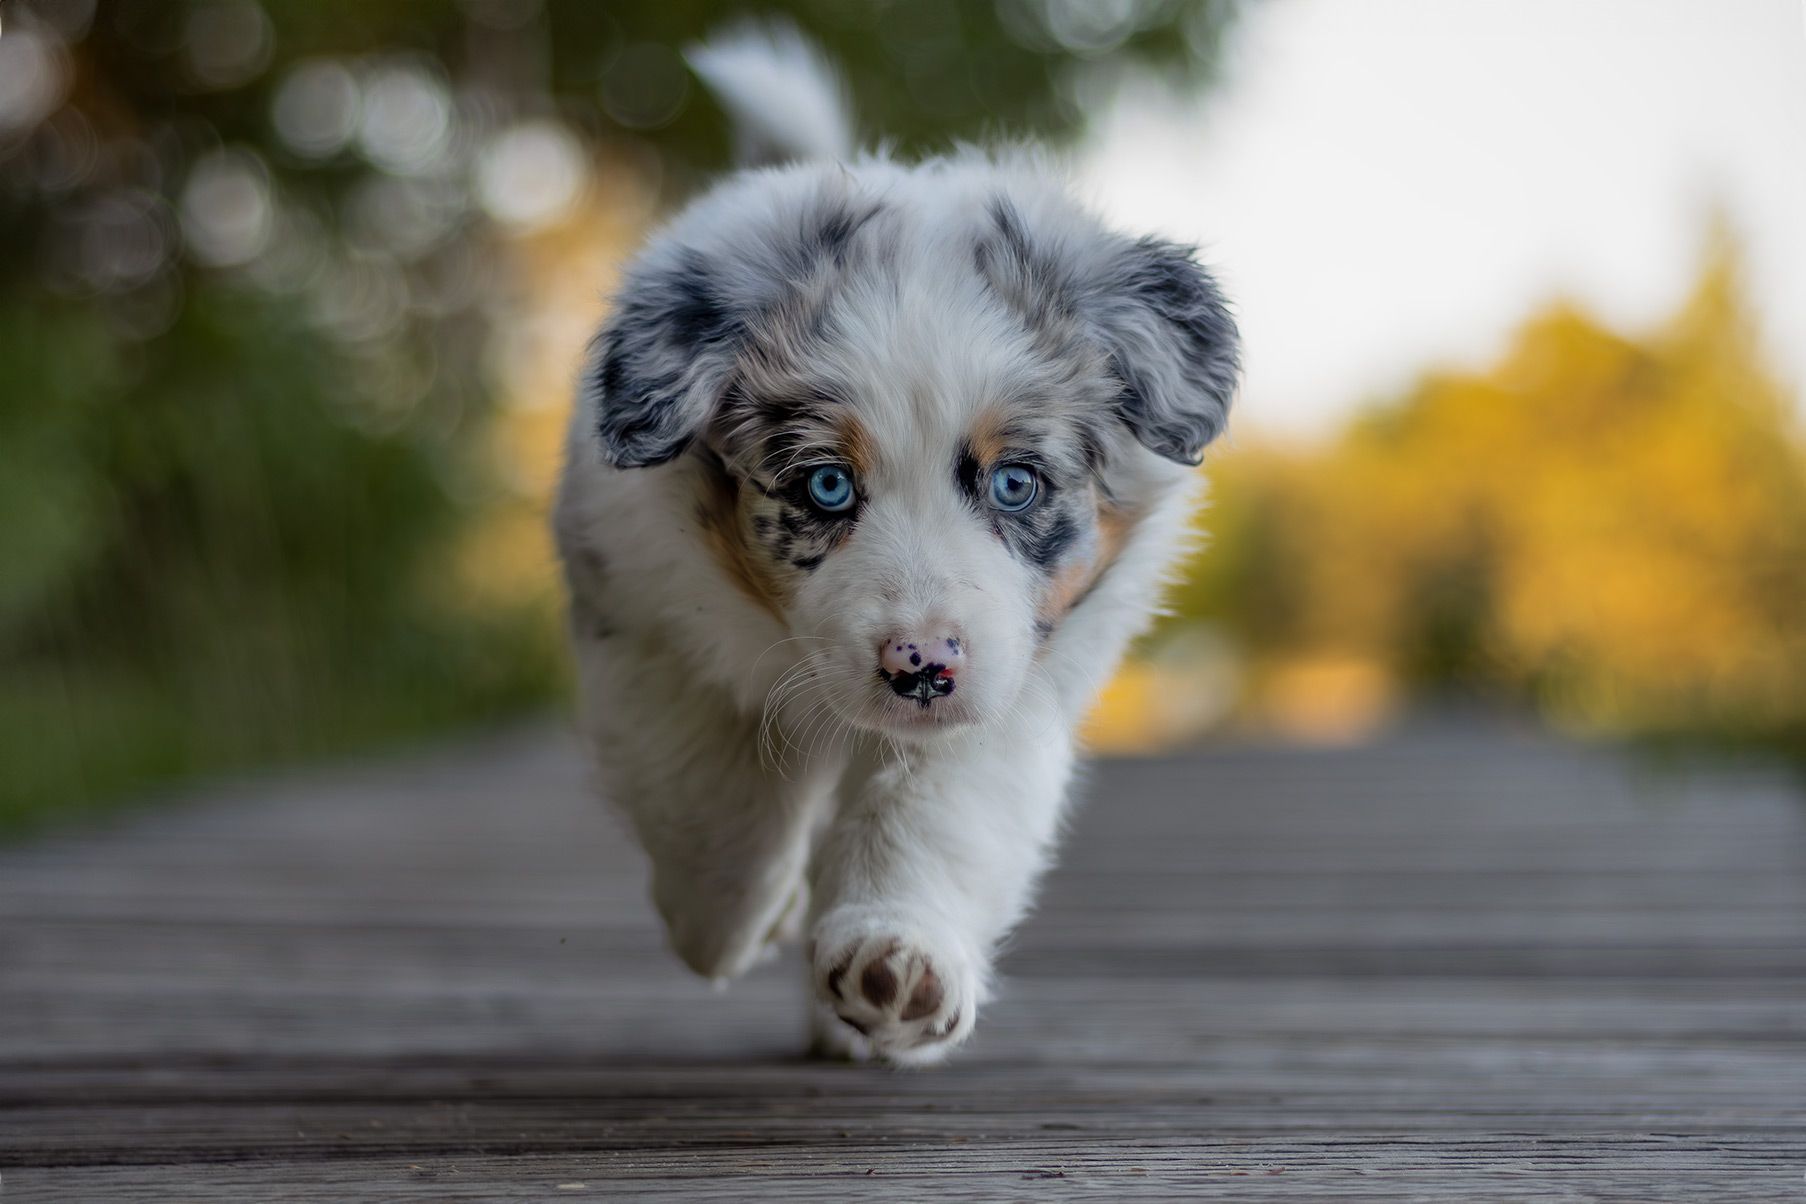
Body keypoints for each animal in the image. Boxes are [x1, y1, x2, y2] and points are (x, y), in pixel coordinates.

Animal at [552, 28, 1242, 1061]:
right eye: (827, 486)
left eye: (1015, 484)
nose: (921, 666)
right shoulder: (648, 622)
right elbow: (712, 793)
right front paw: (727, 925)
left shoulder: (1012, 677)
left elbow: (934, 813)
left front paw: (896, 963)